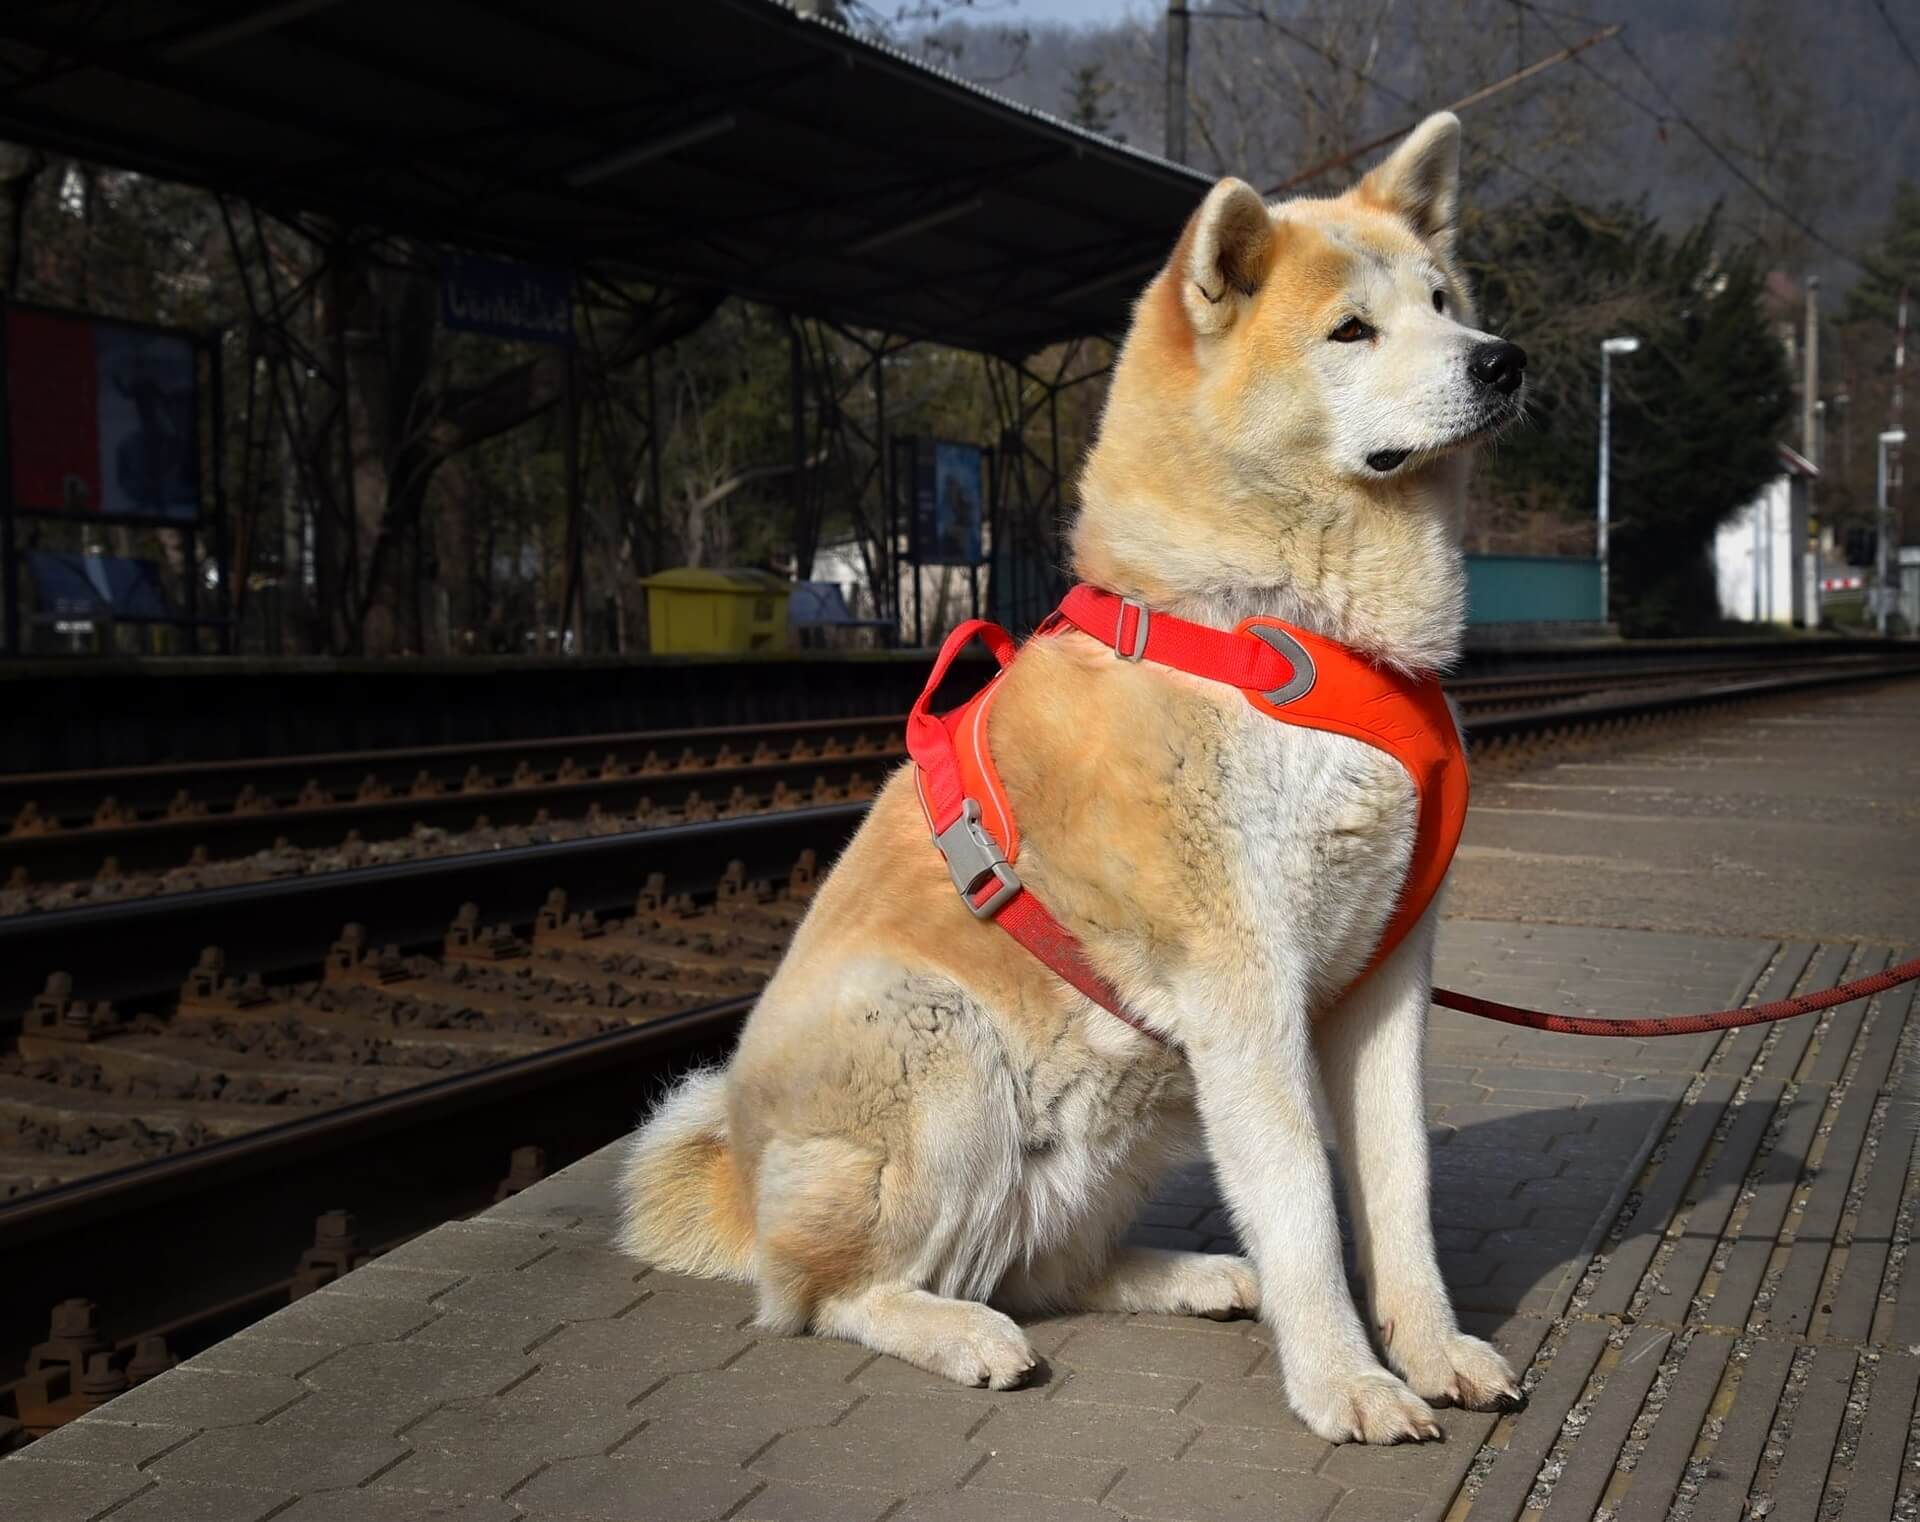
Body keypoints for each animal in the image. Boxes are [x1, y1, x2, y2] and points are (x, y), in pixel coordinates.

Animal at [622, 112, 1536, 1443]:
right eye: (1350, 331)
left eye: (1442, 302)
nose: (1503, 363)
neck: (1287, 631)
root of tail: (739, 1185)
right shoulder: (1243, 983)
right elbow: (1305, 1206)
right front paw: (1344, 1379)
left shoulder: (1382, 977)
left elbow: (1398, 1190)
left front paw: (1432, 1348)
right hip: (942, 1045)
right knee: (834, 1293)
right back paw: (958, 1330)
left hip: (1135, 1103)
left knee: (1043, 1263)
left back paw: (1195, 1276)